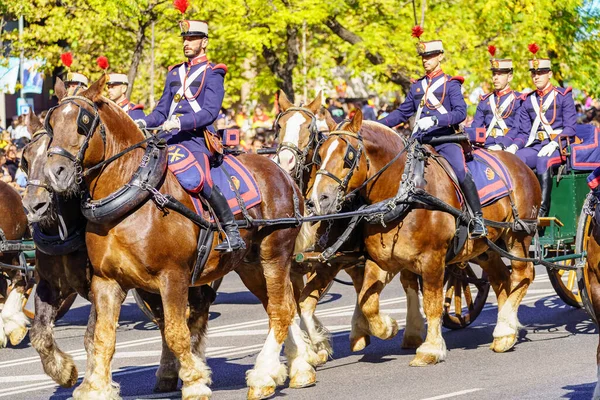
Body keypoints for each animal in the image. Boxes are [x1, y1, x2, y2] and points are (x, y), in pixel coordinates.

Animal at [41, 76, 316, 400]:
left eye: (83, 122)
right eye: (52, 123)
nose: (54, 173)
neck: (135, 195)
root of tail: (282, 171)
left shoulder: (173, 278)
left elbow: (176, 332)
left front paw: (195, 381)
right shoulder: (107, 282)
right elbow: (103, 337)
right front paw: (96, 388)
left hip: (274, 255)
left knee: (281, 309)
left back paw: (262, 376)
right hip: (249, 265)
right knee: (282, 306)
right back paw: (297, 368)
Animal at [310, 109, 540, 366]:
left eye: (348, 155)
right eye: (319, 155)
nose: (318, 200)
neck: (405, 193)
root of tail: (519, 163)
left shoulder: (432, 260)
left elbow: (432, 304)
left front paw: (430, 349)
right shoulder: (380, 261)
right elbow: (367, 302)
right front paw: (387, 327)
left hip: (518, 236)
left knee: (523, 274)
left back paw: (506, 328)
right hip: (485, 248)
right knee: (501, 279)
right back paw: (505, 332)